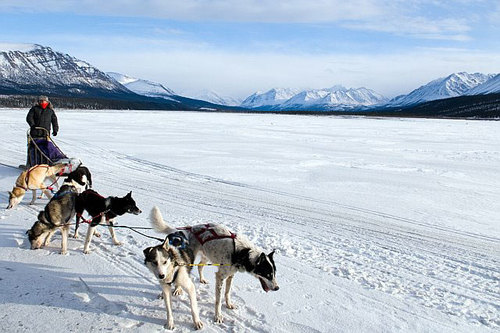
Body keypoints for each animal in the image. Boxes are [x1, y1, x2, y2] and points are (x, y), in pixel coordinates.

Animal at [148, 206, 282, 322]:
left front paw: (229, 304)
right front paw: (218, 316)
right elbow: (218, 300)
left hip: (206, 256)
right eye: (268, 274)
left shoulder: (230, 275)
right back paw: (177, 289)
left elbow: (227, 293)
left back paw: (201, 279)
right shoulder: (220, 277)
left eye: (274, 273)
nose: (277, 288)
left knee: (200, 267)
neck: (242, 252)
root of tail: (182, 231)